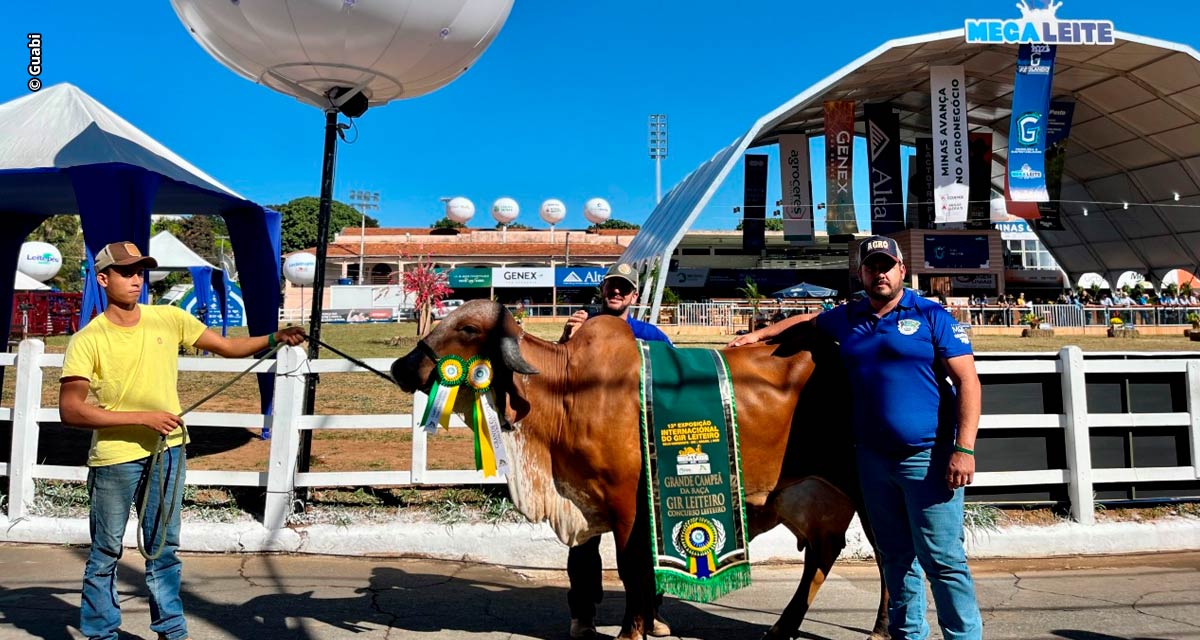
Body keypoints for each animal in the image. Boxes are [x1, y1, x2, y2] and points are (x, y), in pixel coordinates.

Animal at [388, 300, 888, 638]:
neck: (566, 391)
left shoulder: (627, 502)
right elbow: (630, 570)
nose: (401, 366)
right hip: (813, 495)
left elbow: (631, 569)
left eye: (468, 327)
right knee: (823, 554)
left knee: (889, 555)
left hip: (868, 490)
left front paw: (633, 630)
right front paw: (645, 623)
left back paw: (880, 628)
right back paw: (782, 628)